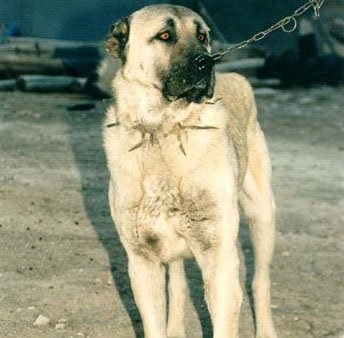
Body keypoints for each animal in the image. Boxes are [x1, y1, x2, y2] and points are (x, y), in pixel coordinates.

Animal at [101, 5, 276, 338]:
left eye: (203, 36)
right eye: (164, 35)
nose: (207, 62)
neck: (164, 131)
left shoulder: (219, 263)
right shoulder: (142, 263)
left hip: (262, 216)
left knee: (260, 281)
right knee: (179, 284)